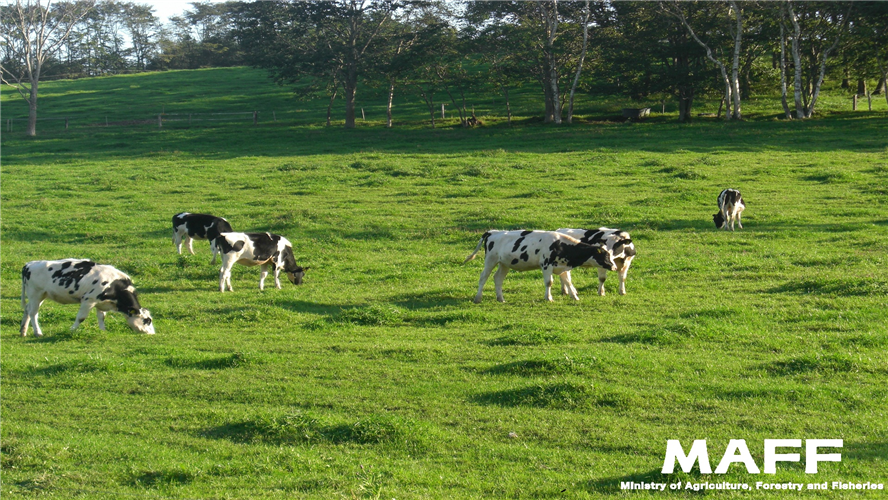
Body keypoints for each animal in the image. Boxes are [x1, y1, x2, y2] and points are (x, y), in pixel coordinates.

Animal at [20, 260, 156, 338]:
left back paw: (23, 331)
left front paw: (103, 331)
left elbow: (101, 317)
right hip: (35, 293)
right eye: (147, 320)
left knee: (27, 309)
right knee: (33, 313)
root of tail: (29, 264)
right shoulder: (88, 300)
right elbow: (81, 318)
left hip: (41, 295)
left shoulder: (101, 302)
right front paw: (72, 330)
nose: (152, 333)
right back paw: (38, 332)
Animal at [462, 229, 612, 302]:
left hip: (504, 263)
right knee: (483, 277)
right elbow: (549, 282)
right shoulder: (546, 265)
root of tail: (492, 232)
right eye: (605, 255)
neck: (560, 245)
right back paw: (478, 298)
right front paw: (549, 298)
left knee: (498, 278)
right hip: (490, 260)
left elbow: (568, 282)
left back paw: (501, 299)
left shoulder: (562, 267)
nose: (614, 266)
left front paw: (574, 297)